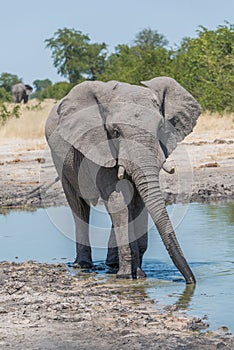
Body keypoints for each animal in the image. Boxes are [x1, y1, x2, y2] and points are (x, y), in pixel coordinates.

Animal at [45, 76, 201, 284]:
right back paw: (83, 266)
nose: (191, 281)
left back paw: (112, 265)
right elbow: (117, 197)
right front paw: (128, 276)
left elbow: (138, 201)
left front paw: (138, 274)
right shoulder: (98, 143)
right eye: (116, 132)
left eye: (161, 128)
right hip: (61, 162)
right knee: (79, 206)